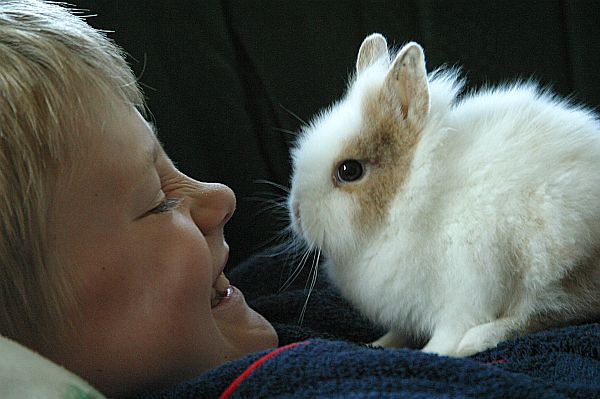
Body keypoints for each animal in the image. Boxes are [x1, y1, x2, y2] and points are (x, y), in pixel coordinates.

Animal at [286, 33, 600, 356]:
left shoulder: (466, 290)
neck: (409, 197)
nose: (296, 211)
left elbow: (450, 331)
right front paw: (377, 344)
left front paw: (433, 352)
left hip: (550, 258)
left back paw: (475, 340)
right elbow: (399, 332)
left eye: (349, 170)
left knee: (547, 310)